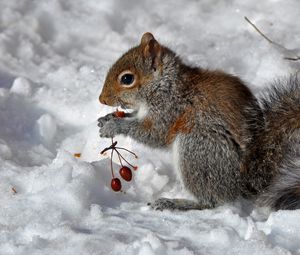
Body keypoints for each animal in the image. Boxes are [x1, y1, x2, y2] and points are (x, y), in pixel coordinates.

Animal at [98, 32, 300, 211]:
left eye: (127, 78)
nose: (102, 99)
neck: (165, 85)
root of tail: (242, 183)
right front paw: (106, 119)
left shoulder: (170, 110)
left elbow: (153, 134)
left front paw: (114, 126)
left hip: (196, 149)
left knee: (211, 202)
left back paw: (175, 204)